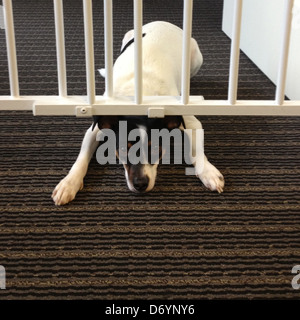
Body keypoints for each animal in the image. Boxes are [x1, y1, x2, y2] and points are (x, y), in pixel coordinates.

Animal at [52, 21, 225, 205]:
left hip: (196, 57)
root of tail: (163, 22)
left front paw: (208, 172)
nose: (140, 184)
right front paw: (69, 183)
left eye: (156, 148)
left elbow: (197, 150)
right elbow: (82, 158)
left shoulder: (191, 122)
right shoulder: (95, 129)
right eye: (122, 149)